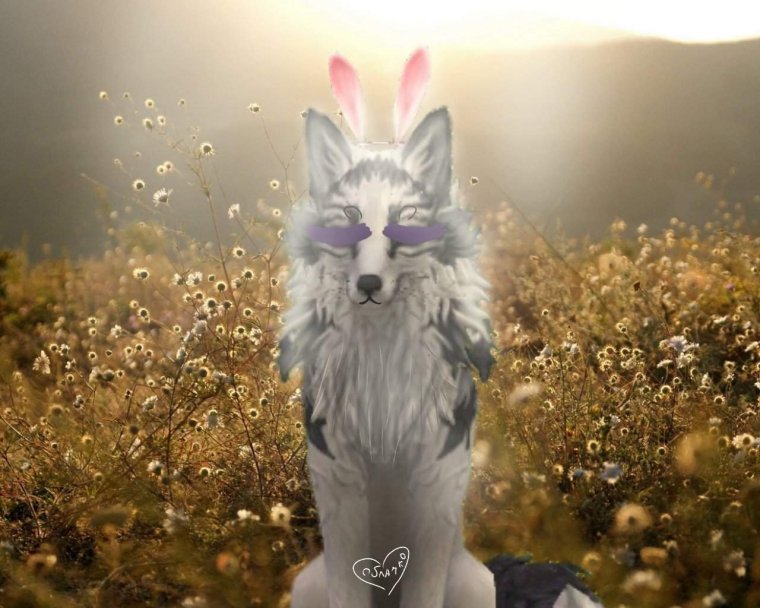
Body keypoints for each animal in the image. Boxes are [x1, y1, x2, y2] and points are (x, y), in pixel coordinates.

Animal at [277, 49, 497, 608]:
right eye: (348, 220)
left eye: (405, 222)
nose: (370, 283)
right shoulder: (339, 481)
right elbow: (349, 590)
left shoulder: (435, 480)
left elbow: (422, 590)